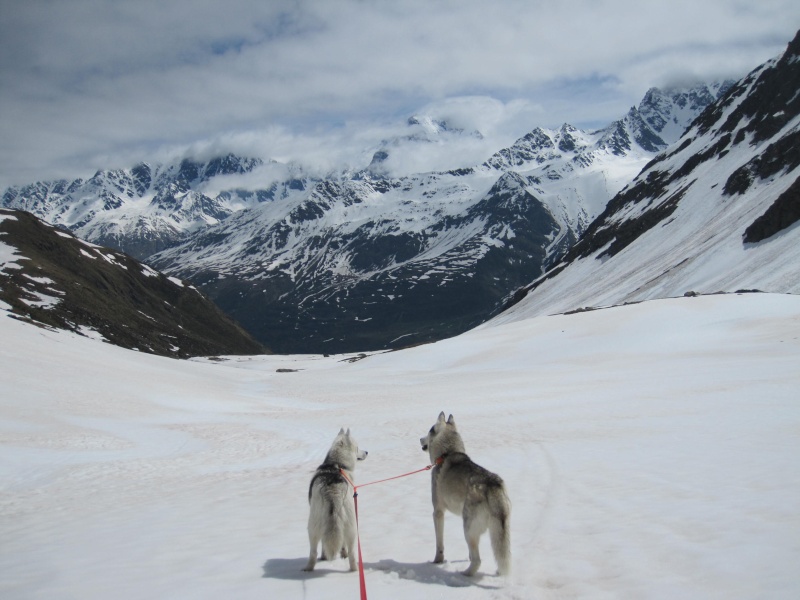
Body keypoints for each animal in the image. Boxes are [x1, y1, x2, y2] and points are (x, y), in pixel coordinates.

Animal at [304, 426, 368, 572]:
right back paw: (354, 570)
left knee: (313, 552)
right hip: (351, 527)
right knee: (352, 553)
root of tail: (332, 491)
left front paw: (325, 556)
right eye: (357, 447)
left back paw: (308, 569)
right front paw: (342, 554)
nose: (367, 452)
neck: (337, 464)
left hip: (313, 527)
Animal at [418, 412, 512, 576]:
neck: (447, 453)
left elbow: (439, 544)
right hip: (498, 530)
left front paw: (437, 561)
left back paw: (465, 573)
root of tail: (493, 484)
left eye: (429, 430)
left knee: (478, 561)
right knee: (499, 555)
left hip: (468, 527)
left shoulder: (438, 512)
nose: (419, 439)